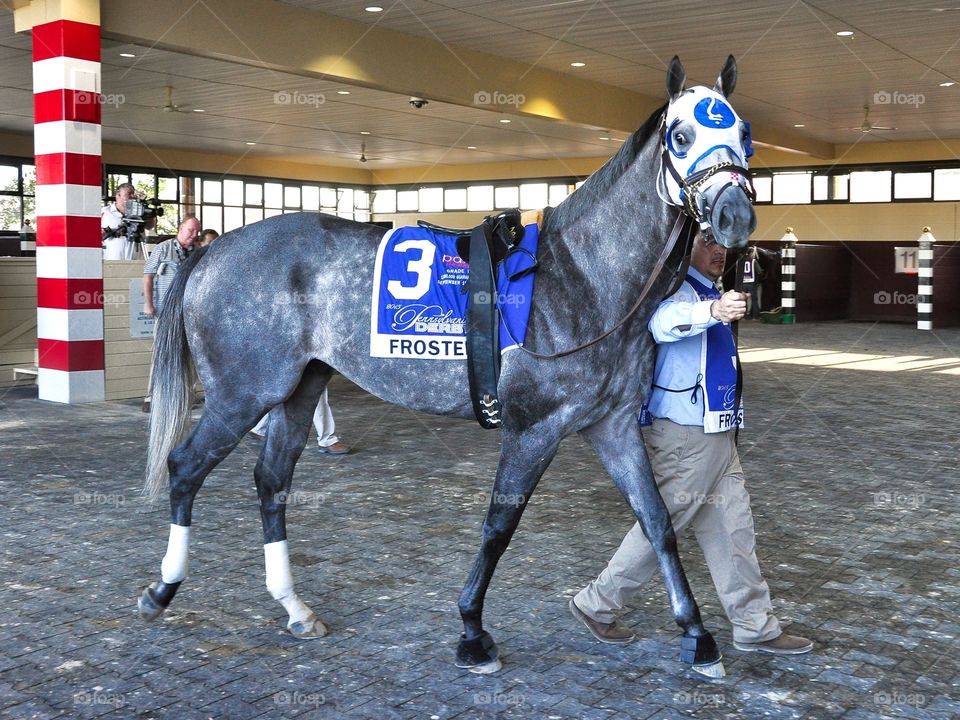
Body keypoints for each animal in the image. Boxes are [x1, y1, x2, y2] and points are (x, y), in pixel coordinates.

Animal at [141, 54, 756, 676]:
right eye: (681, 136)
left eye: (745, 134)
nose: (734, 215)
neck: (581, 277)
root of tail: (212, 250)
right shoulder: (533, 429)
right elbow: (499, 526)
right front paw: (472, 631)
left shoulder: (612, 425)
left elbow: (657, 521)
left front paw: (698, 634)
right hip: (242, 395)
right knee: (185, 467)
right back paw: (162, 589)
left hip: (299, 388)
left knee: (271, 482)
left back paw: (294, 607)